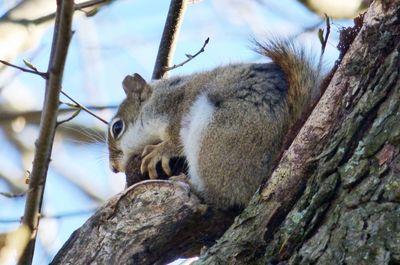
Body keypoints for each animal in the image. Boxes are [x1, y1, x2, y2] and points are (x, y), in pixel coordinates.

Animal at [108, 39, 320, 208]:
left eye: (117, 127)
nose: (113, 168)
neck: (157, 99)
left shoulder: (178, 106)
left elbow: (175, 140)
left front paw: (159, 151)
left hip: (217, 138)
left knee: (223, 196)